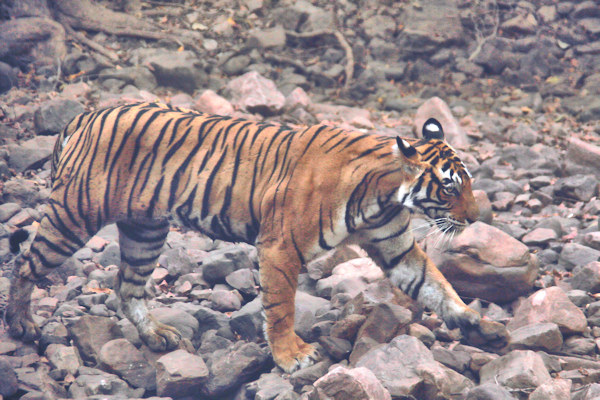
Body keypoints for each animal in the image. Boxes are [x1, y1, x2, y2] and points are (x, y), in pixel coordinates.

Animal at [7, 101, 508, 372]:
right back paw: (21, 325)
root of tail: (85, 115)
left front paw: (481, 326)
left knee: (125, 287)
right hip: (73, 216)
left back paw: (157, 337)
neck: (385, 196)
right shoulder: (280, 248)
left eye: (468, 183)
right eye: (450, 188)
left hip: (144, 229)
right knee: (25, 264)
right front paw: (292, 357)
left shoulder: (398, 249)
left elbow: (439, 288)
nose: (476, 217)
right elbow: (280, 308)